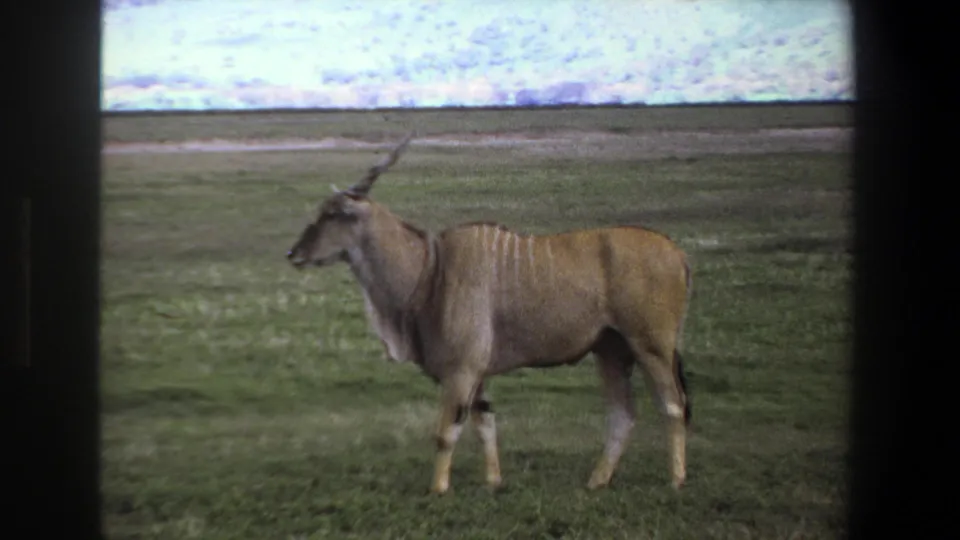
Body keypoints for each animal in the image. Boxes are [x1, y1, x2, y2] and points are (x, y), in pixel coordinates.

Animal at [286, 133, 694, 494]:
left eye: (333, 214)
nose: (294, 254)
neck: (430, 269)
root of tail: (676, 252)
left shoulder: (461, 371)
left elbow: (446, 433)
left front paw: (438, 489)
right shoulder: (476, 375)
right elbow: (486, 425)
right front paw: (494, 483)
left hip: (650, 345)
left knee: (673, 404)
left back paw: (676, 480)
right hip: (610, 349)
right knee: (623, 414)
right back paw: (597, 481)